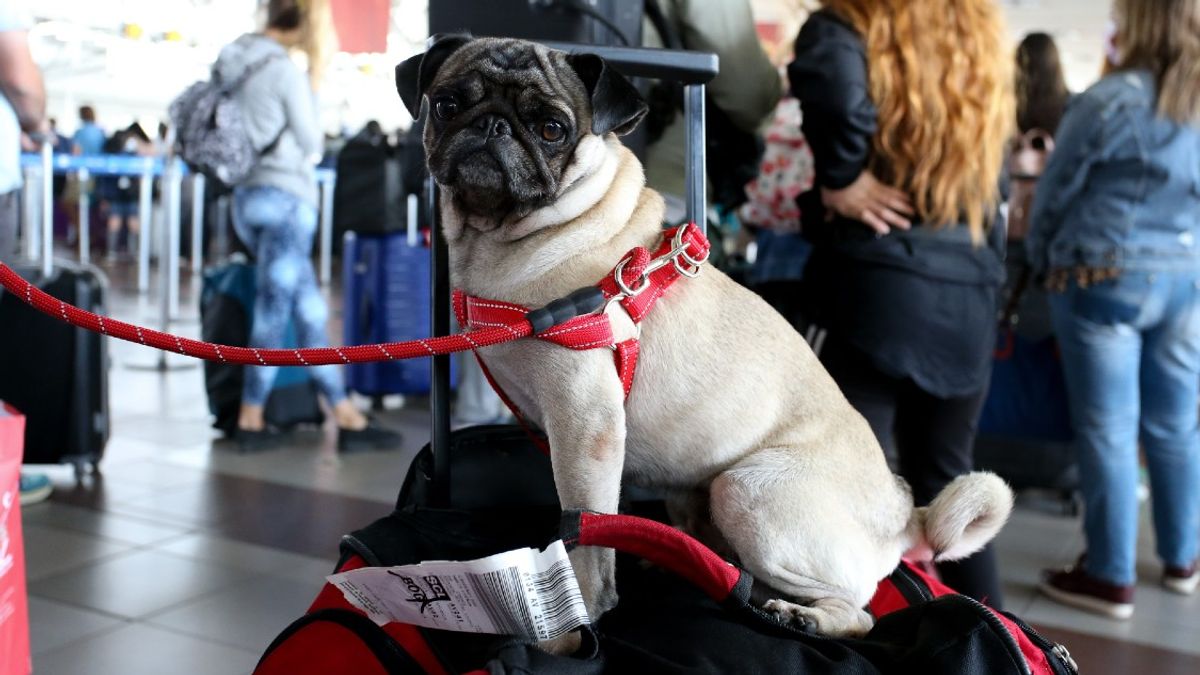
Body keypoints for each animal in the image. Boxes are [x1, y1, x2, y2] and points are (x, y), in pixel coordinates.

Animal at [396, 36, 1012, 638]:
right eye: (448, 103)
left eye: (552, 129)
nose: (492, 125)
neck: (502, 238)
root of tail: (908, 514)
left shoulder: (585, 427)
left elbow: (585, 532)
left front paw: (582, 620)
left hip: (747, 491)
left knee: (858, 614)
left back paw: (800, 615)